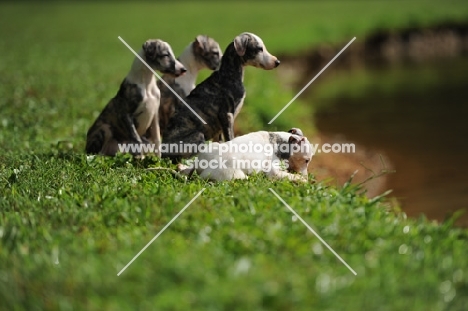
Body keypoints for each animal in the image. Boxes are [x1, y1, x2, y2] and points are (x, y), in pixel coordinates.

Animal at [180, 129, 314, 183]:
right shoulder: (273, 172)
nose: (307, 176)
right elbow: (290, 176)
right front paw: (302, 180)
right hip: (240, 176)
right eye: (307, 160)